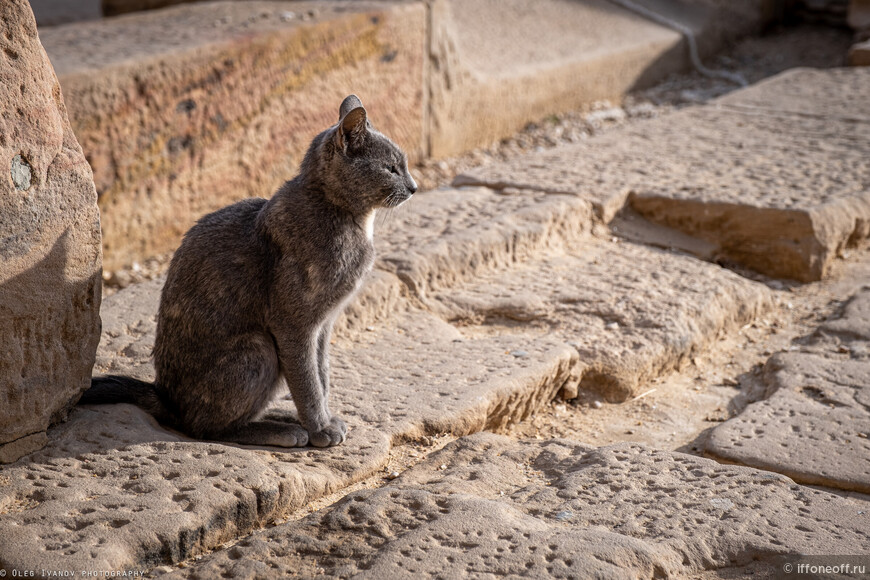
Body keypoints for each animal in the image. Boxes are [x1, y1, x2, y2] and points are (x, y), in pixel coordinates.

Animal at [82, 95, 418, 448]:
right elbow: (307, 380)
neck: (349, 219)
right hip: (259, 348)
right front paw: (320, 428)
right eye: (391, 168)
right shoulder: (294, 325)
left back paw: (283, 418)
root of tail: (165, 397)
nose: (414, 186)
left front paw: (323, 420)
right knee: (205, 428)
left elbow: (321, 374)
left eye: (404, 165)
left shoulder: (325, 325)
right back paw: (283, 430)